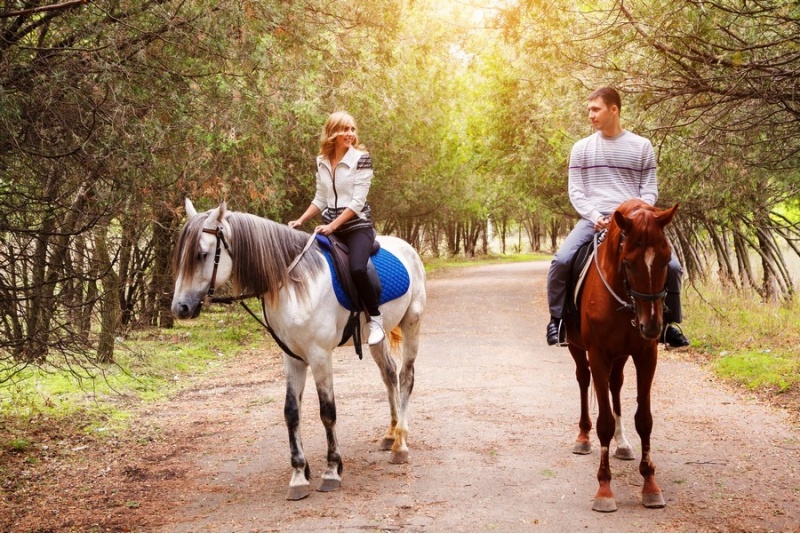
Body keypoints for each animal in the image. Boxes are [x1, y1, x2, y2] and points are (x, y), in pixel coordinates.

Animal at [564, 199, 680, 512]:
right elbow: (603, 422)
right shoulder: (597, 354)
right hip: (578, 349)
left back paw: (623, 443)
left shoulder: (645, 355)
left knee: (615, 385)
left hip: (620, 356)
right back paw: (582, 438)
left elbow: (645, 419)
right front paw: (604, 489)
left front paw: (650, 485)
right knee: (583, 380)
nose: (651, 326)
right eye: (627, 262)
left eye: (666, 260)